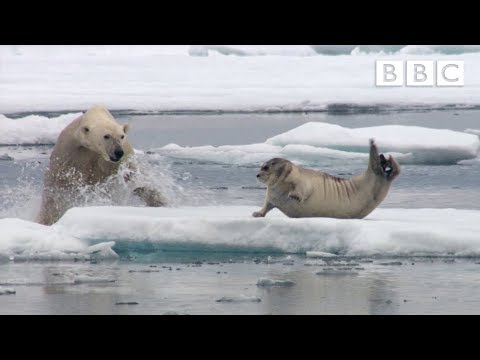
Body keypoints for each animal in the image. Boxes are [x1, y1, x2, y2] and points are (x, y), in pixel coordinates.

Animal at [36, 104, 166, 226]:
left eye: (122, 136)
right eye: (106, 136)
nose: (118, 152)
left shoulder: (118, 161)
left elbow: (136, 178)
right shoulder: (68, 152)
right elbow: (56, 187)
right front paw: (46, 220)